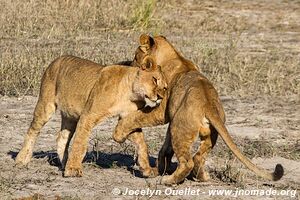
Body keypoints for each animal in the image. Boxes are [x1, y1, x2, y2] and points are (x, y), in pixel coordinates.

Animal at [15, 54, 168, 177]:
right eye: (154, 79)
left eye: (165, 87)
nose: (160, 97)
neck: (130, 93)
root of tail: (56, 59)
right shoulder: (88, 115)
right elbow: (80, 143)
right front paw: (73, 169)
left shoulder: (127, 119)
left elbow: (141, 143)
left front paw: (147, 169)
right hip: (46, 105)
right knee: (32, 130)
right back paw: (21, 160)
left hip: (70, 116)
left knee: (62, 138)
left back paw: (64, 164)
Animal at [112, 34, 284, 184]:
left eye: (136, 57)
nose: (130, 66)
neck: (172, 56)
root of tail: (209, 105)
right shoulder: (173, 116)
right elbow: (166, 146)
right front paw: (161, 166)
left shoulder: (161, 110)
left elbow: (136, 117)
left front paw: (118, 134)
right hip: (205, 132)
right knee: (198, 157)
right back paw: (201, 177)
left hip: (180, 128)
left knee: (187, 162)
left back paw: (168, 180)